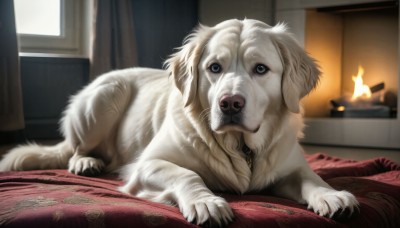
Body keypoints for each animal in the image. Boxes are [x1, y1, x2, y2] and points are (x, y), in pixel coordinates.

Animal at [0, 19, 360, 226]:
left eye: (261, 69)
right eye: (214, 67)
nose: (230, 103)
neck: (240, 147)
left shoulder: (289, 166)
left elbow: (310, 178)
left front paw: (332, 197)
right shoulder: (147, 164)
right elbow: (187, 174)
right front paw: (206, 202)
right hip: (104, 97)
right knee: (74, 149)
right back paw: (86, 162)